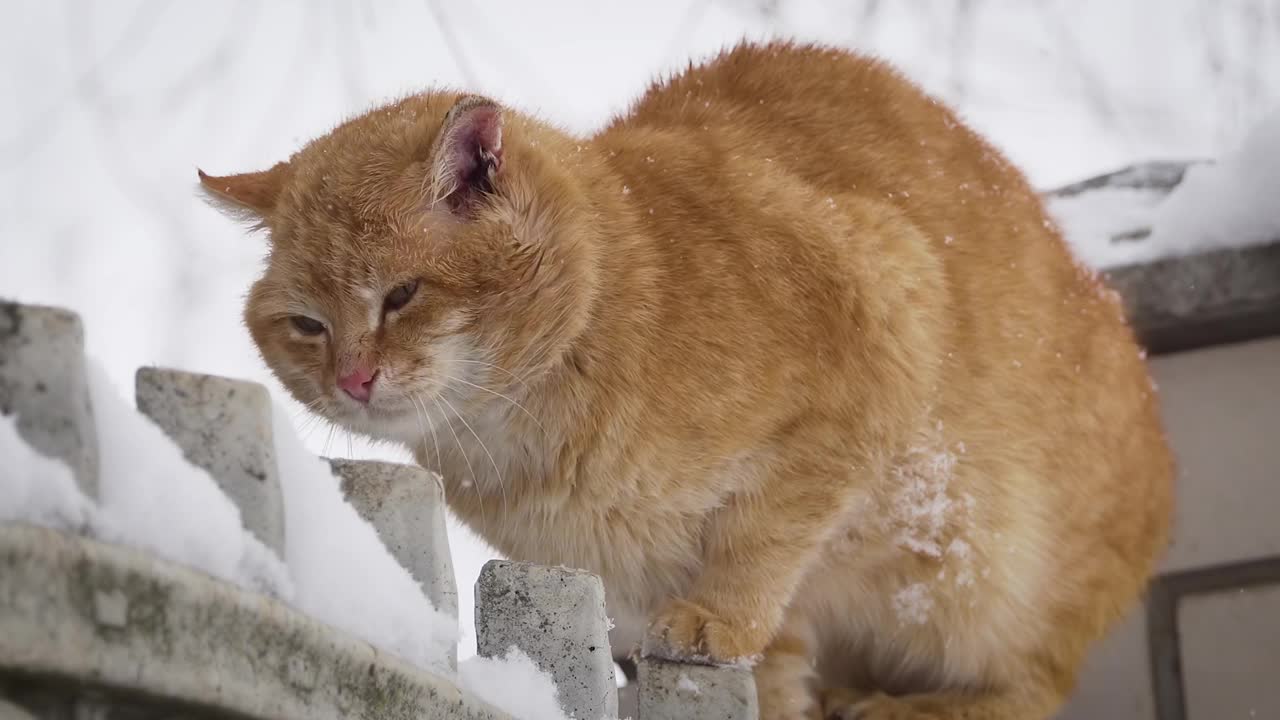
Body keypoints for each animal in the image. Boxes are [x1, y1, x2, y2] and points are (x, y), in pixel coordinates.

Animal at [199, 41, 1172, 712]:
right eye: (308, 326)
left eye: (401, 295)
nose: (353, 380)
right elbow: (764, 674)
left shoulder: (884, 330)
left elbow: (760, 547)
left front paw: (719, 618)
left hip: (993, 588)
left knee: (1028, 691)